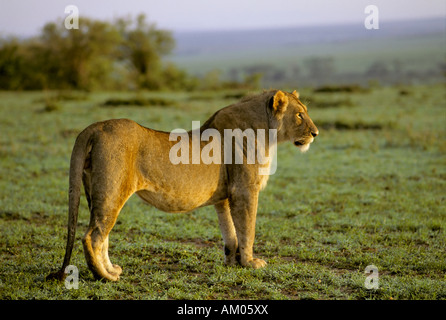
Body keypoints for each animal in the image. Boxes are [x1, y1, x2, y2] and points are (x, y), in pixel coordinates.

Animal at [47, 89, 318, 282]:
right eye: (299, 114)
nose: (315, 133)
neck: (265, 132)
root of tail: (94, 127)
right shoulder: (245, 190)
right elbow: (247, 229)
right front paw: (251, 263)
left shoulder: (224, 197)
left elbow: (230, 231)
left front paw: (232, 261)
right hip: (113, 192)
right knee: (92, 236)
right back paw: (104, 277)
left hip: (97, 191)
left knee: (102, 235)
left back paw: (112, 270)